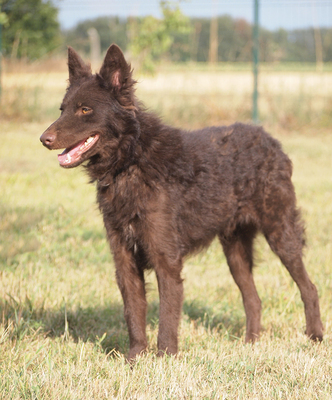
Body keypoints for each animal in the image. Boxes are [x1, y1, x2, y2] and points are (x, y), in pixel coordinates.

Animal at [40, 43, 322, 360]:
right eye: (62, 109)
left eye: (85, 109)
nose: (43, 138)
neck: (131, 161)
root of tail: (270, 140)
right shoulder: (125, 262)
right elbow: (133, 315)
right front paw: (134, 359)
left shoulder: (167, 261)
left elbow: (167, 318)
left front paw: (164, 359)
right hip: (235, 252)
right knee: (254, 299)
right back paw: (251, 344)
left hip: (281, 235)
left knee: (309, 288)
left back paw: (315, 337)